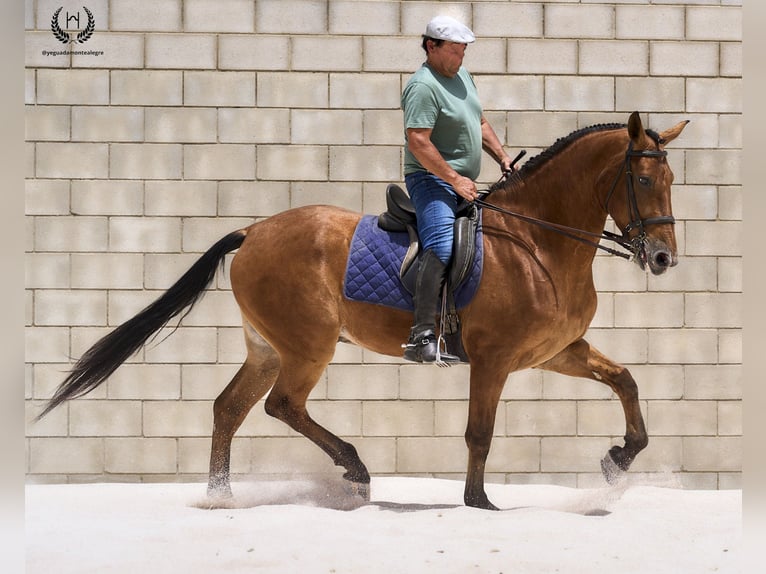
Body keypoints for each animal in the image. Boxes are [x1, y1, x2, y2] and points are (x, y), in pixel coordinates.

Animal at [37, 112, 688, 512]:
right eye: (642, 179)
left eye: (671, 179)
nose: (662, 258)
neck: (537, 244)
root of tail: (253, 231)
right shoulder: (494, 360)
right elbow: (479, 432)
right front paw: (478, 502)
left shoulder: (555, 352)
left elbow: (625, 380)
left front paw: (619, 459)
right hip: (309, 345)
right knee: (282, 406)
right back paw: (353, 468)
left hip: (267, 348)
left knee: (229, 408)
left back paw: (221, 496)